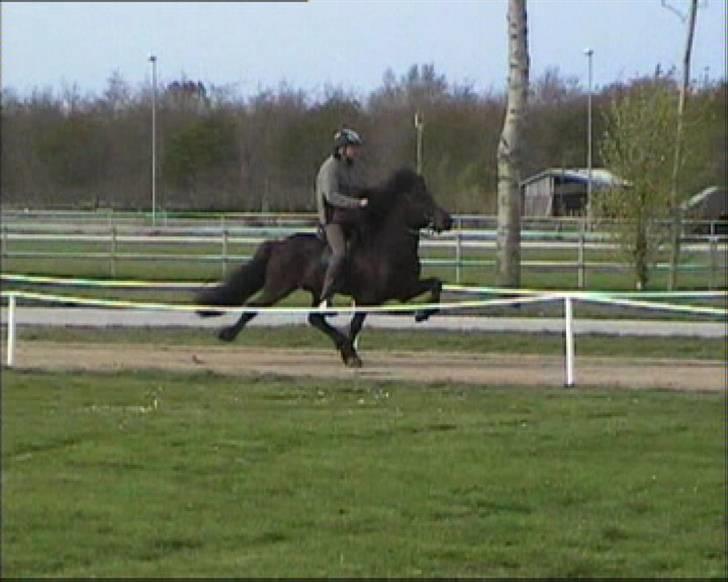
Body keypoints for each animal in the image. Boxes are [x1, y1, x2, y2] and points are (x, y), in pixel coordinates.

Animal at [196, 169, 452, 368]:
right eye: (421, 198)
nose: (447, 220)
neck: (386, 246)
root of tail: (279, 244)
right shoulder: (370, 298)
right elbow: (355, 325)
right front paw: (350, 355)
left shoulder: (403, 290)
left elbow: (436, 284)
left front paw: (422, 314)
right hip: (279, 287)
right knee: (255, 307)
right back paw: (227, 334)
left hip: (314, 292)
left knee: (315, 318)